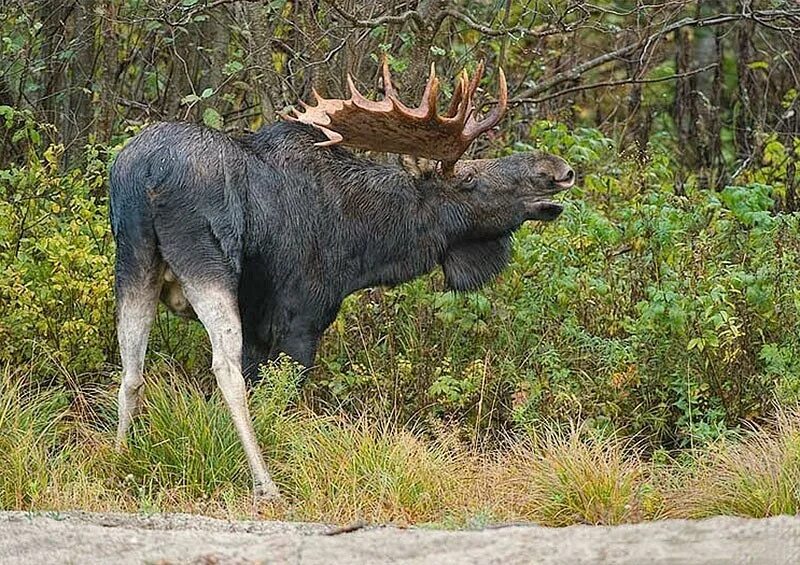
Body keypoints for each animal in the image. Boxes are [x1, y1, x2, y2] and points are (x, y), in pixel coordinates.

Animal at [111, 59, 576, 498]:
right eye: (471, 179)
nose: (558, 169)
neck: (363, 248)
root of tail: (146, 174)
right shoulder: (299, 320)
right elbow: (276, 398)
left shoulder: (263, 328)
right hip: (207, 263)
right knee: (222, 368)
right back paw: (266, 484)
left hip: (134, 259)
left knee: (131, 369)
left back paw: (118, 460)